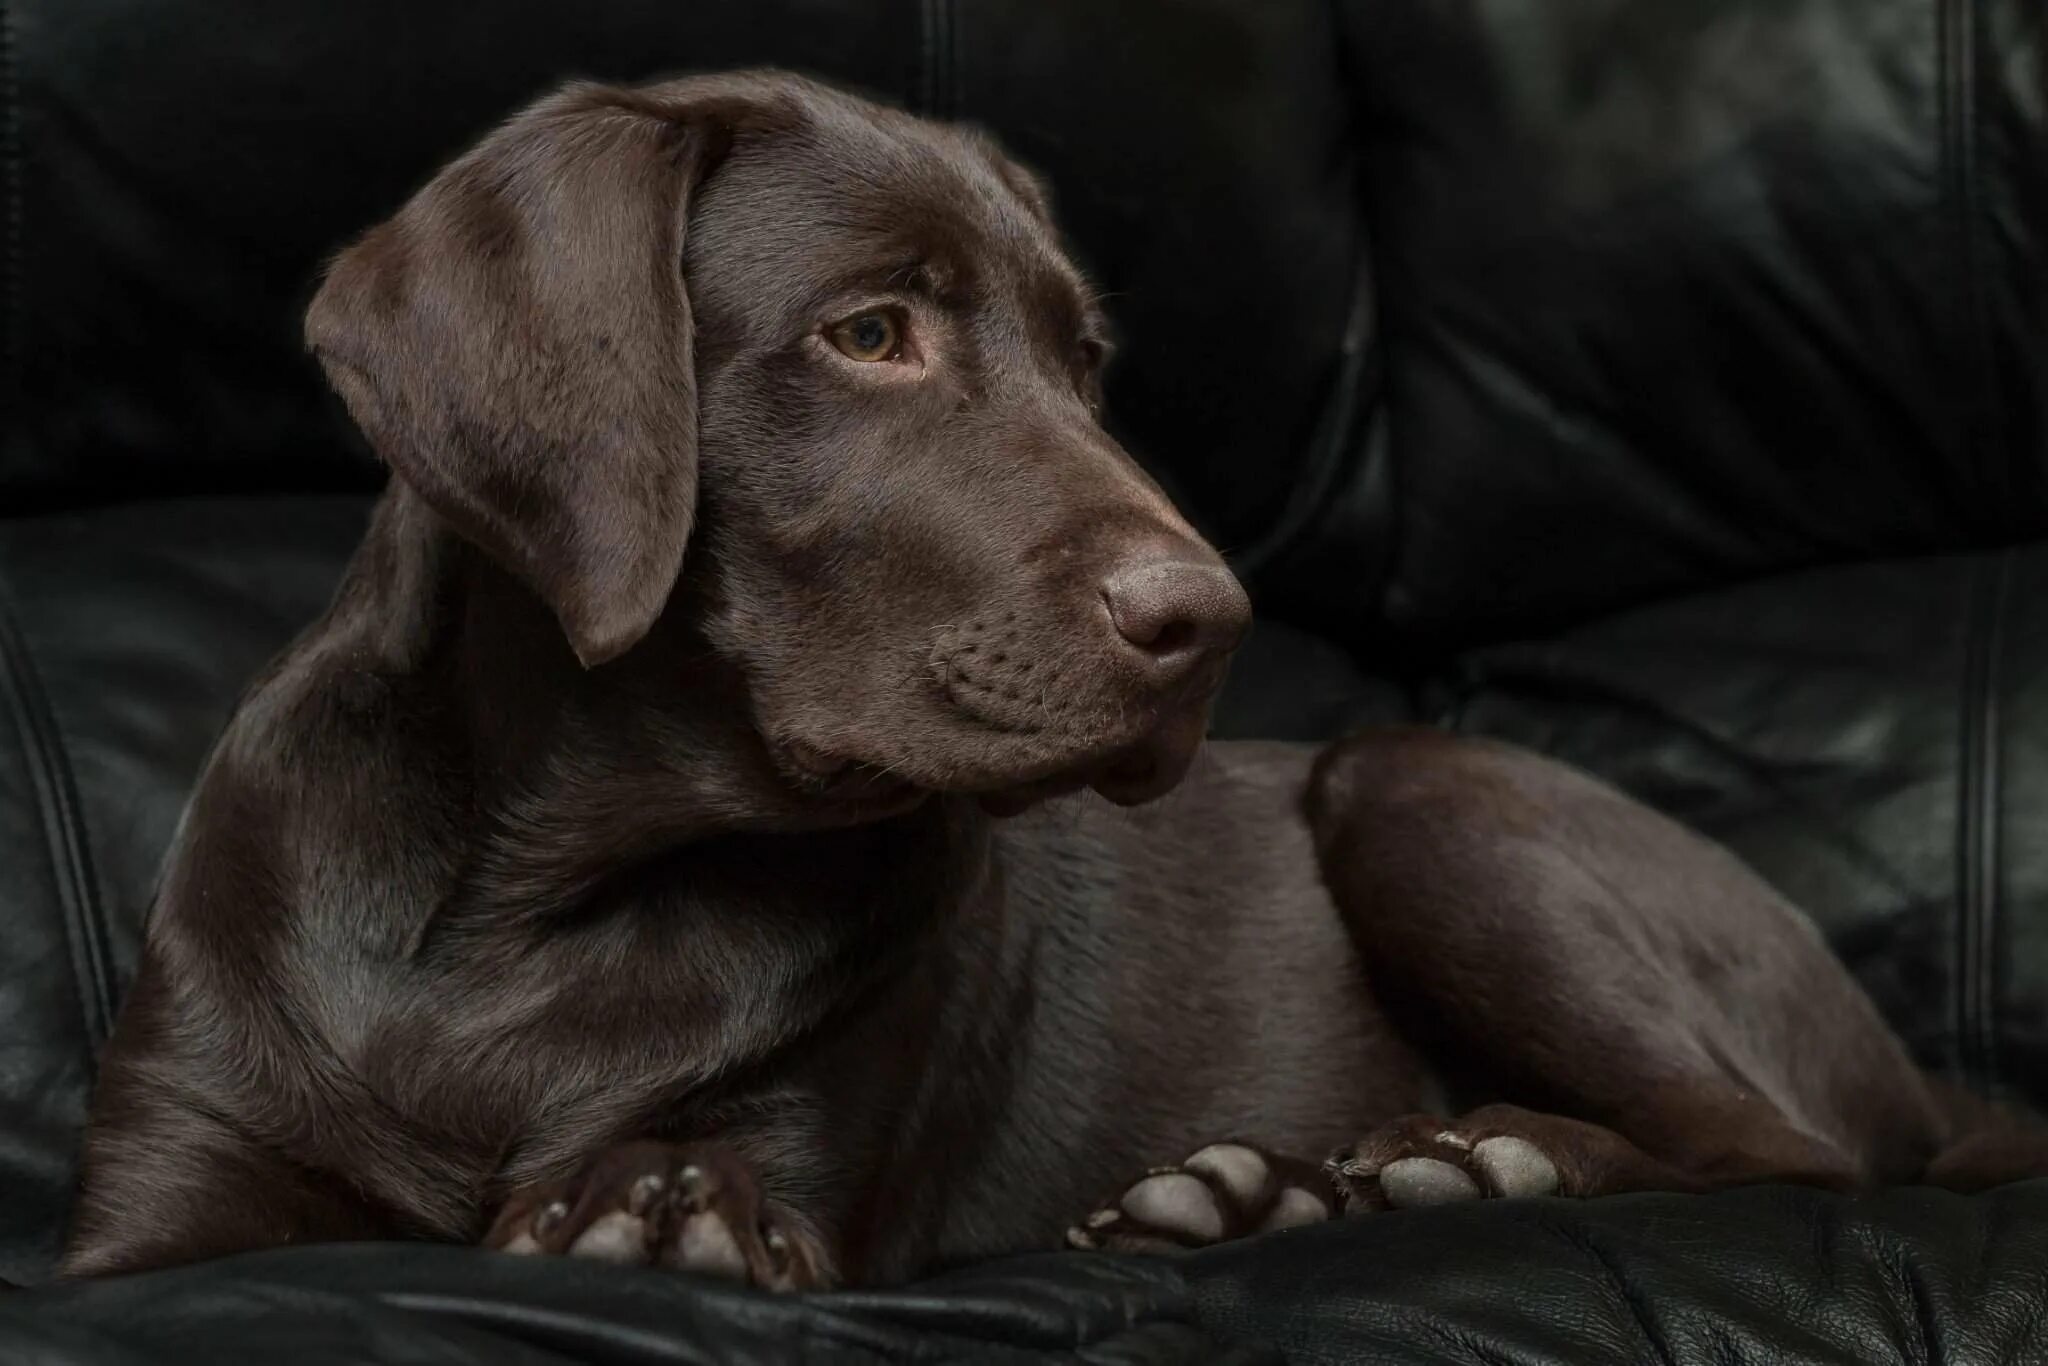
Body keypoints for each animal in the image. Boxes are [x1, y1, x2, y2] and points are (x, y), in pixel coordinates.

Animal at [56, 72, 2039, 1294]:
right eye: (870, 332)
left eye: (1087, 366)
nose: (1213, 614)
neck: (535, 896)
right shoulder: (163, 1200)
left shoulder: (806, 1135)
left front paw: (653, 1200)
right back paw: (1256, 1192)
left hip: (1417, 782)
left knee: (1777, 1149)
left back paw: (1469, 1166)